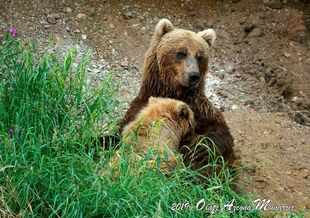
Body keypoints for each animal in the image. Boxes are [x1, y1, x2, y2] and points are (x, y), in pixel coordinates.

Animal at [119, 19, 235, 170]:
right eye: (181, 53)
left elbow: (221, 131)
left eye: (200, 56)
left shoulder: (200, 109)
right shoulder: (140, 108)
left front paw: (201, 149)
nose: (194, 76)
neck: (176, 91)